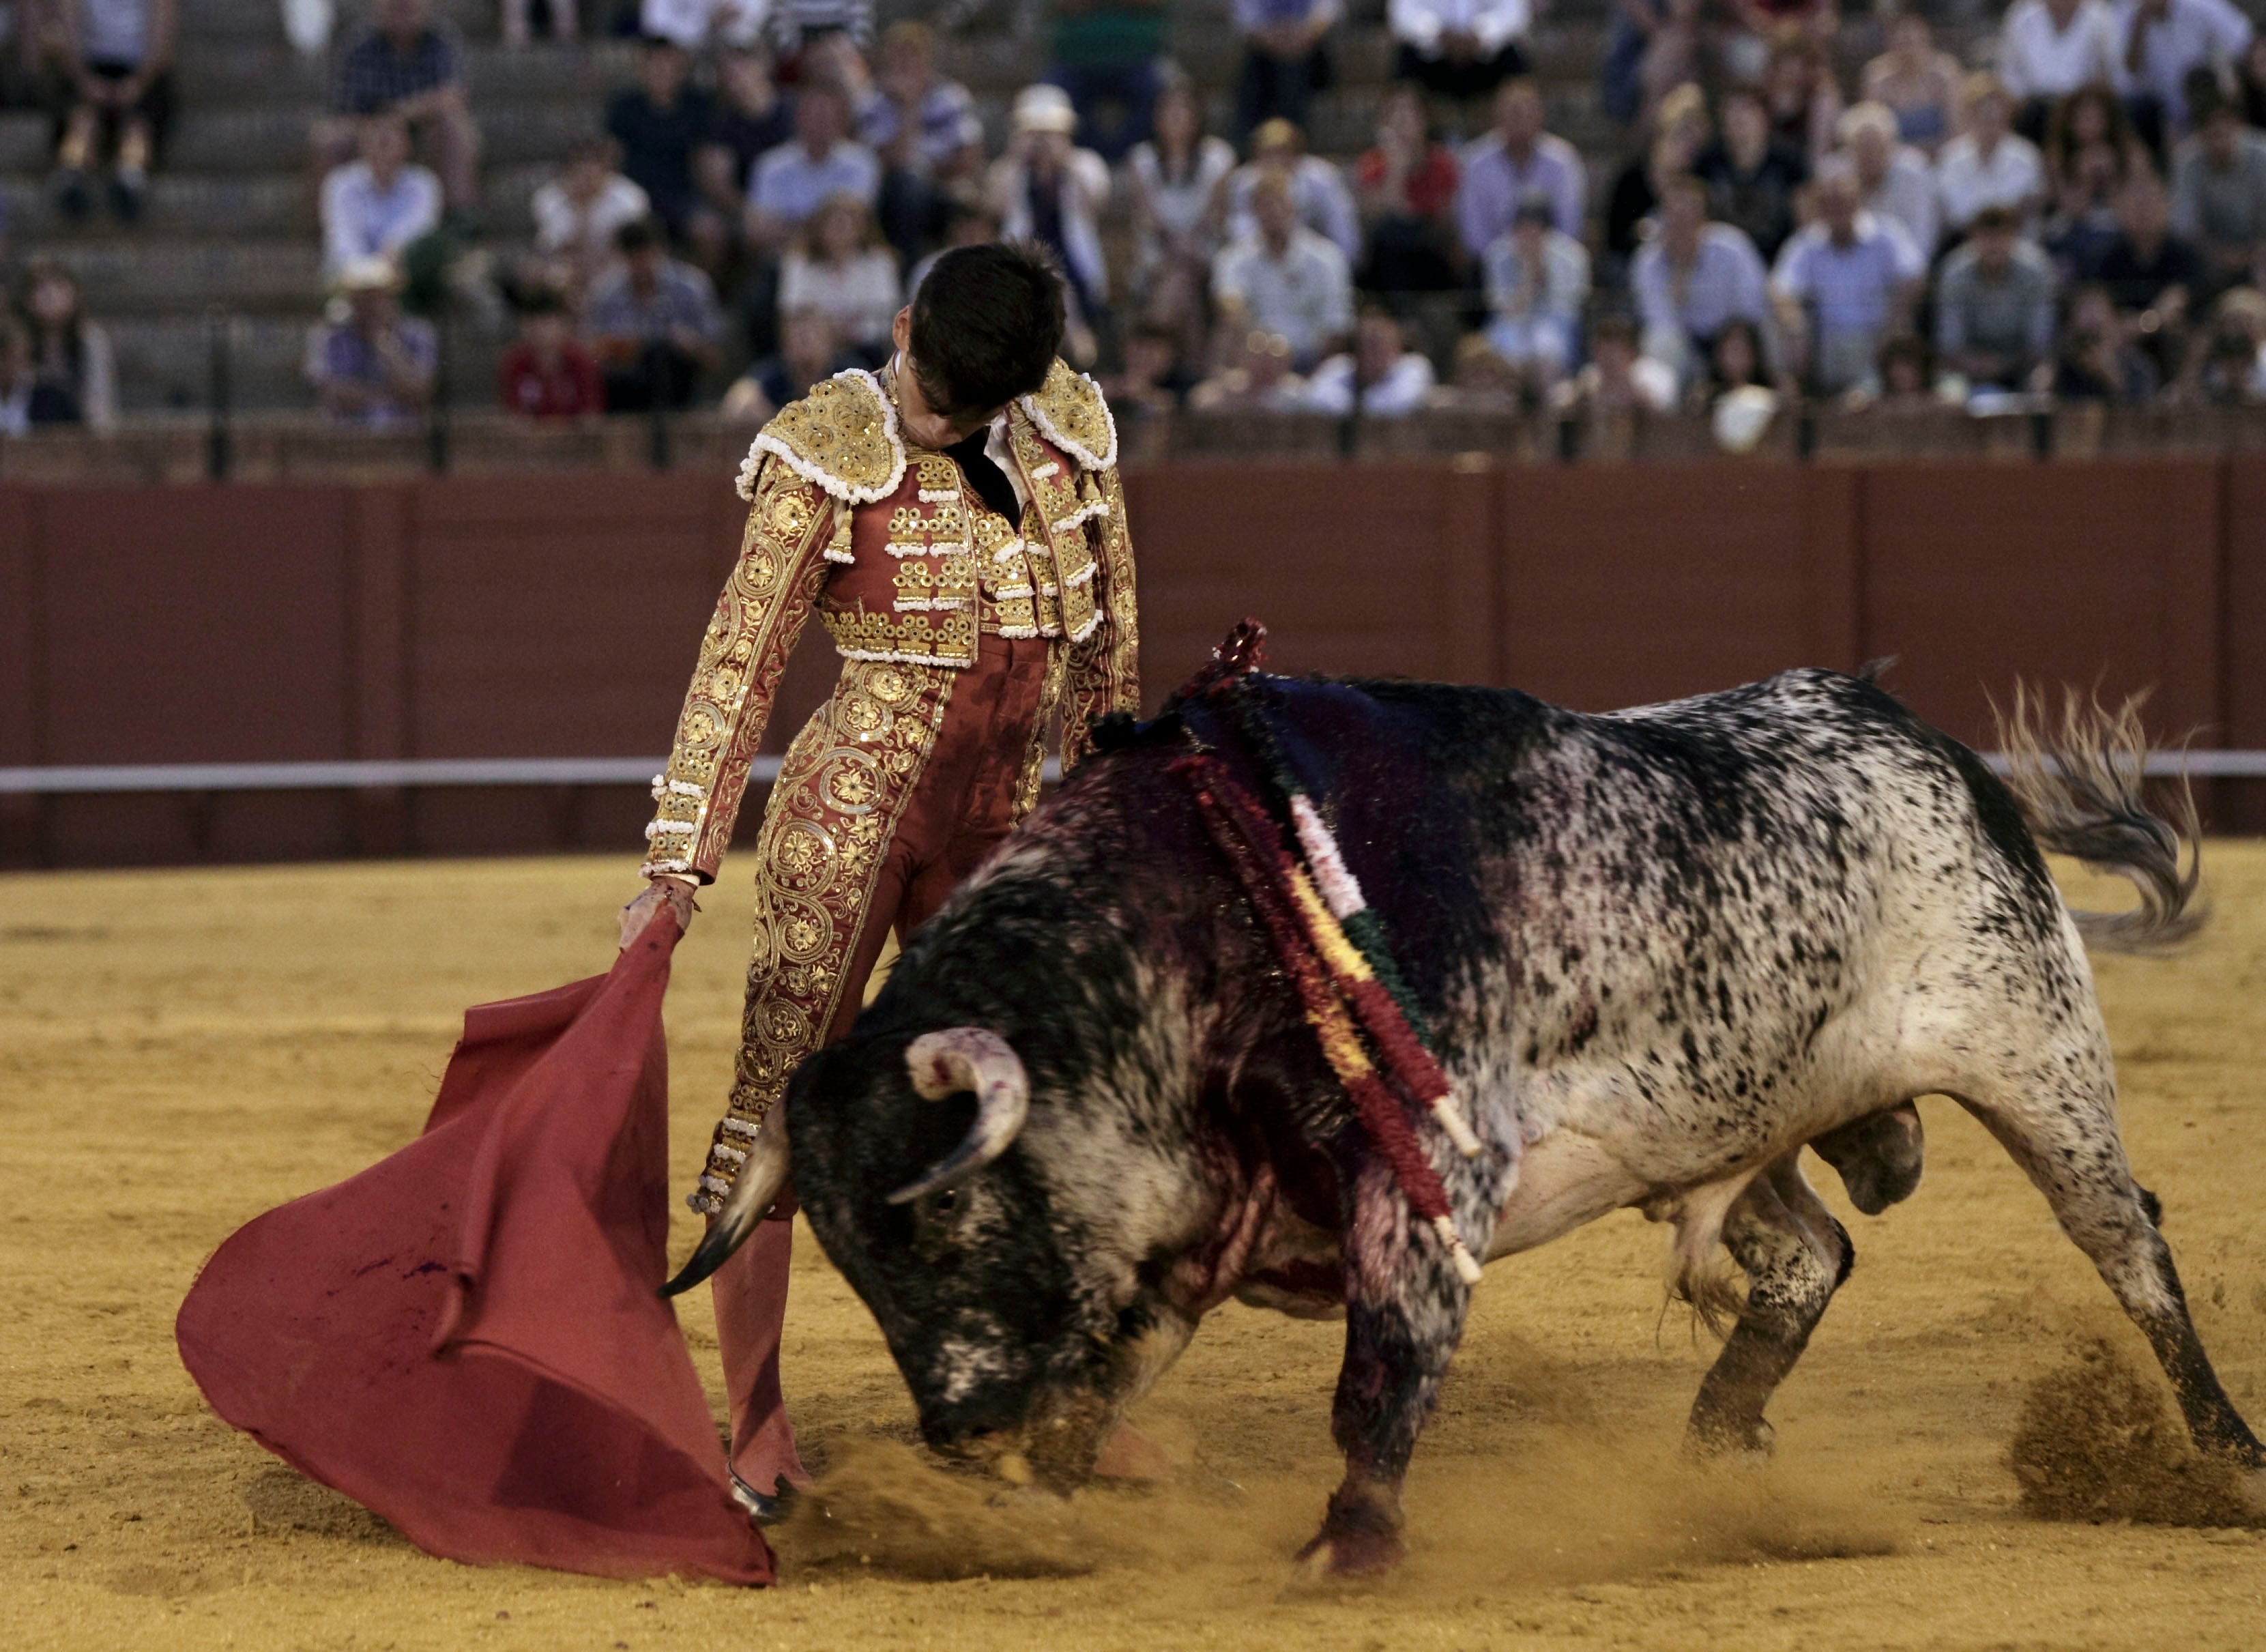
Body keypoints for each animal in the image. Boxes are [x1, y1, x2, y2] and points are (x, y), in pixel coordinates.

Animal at [661, 661, 2256, 1568]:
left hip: (2037, 1058)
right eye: (849, 1255)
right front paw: (1030, 1514)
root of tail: (1941, 752)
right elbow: (1105, 1382)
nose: (952, 1425)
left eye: (941, 1216)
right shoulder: (1181, 1231)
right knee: (1811, 1257)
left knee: (2129, 1249)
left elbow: (1381, 1374)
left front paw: (1346, 1549)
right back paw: (1711, 1451)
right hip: (1728, 1127)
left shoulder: (1428, 1181)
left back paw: (2225, 1460)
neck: (1211, 924)